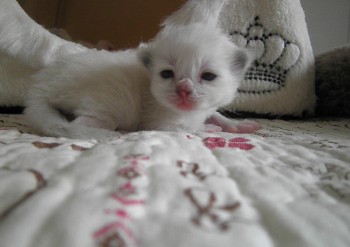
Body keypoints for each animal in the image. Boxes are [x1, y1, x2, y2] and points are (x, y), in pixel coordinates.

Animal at [25, 23, 260, 140]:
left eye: (208, 76)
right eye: (167, 74)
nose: (183, 89)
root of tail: (41, 85)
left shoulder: (206, 106)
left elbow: (216, 113)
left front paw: (238, 125)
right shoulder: (159, 123)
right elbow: (186, 128)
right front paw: (208, 129)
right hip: (114, 103)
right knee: (75, 125)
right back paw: (117, 132)